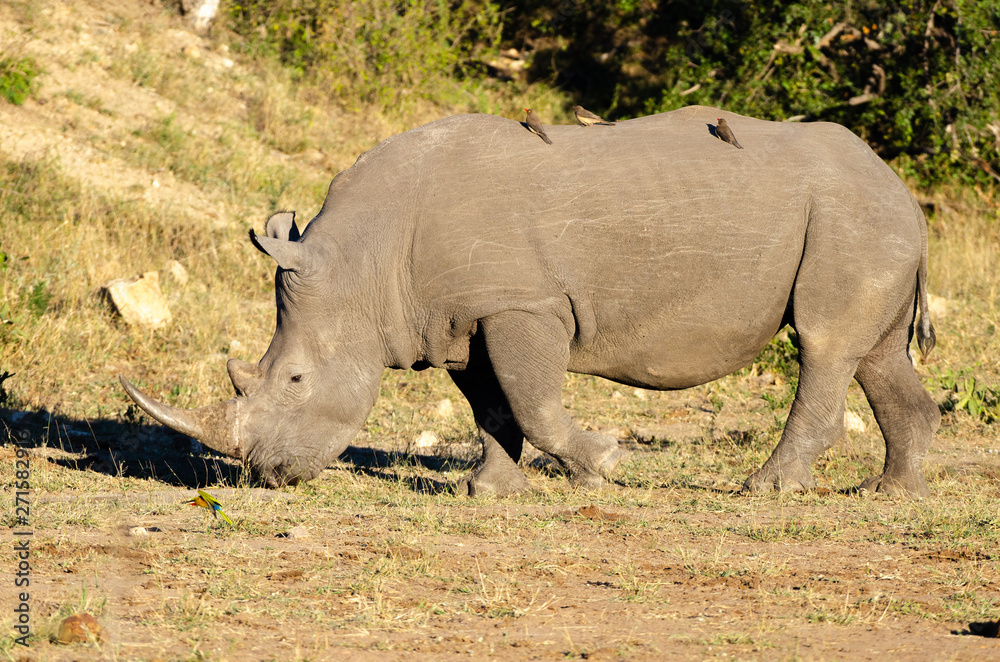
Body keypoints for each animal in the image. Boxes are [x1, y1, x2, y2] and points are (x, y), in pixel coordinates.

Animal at [121, 106, 940, 497]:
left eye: (294, 380)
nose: (266, 476)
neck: (363, 264)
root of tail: (902, 184)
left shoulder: (526, 304)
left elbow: (534, 400)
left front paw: (602, 464)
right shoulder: (459, 318)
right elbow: (492, 405)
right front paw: (489, 491)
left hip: (851, 217)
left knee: (824, 343)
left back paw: (765, 490)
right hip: (870, 222)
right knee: (873, 354)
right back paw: (887, 495)